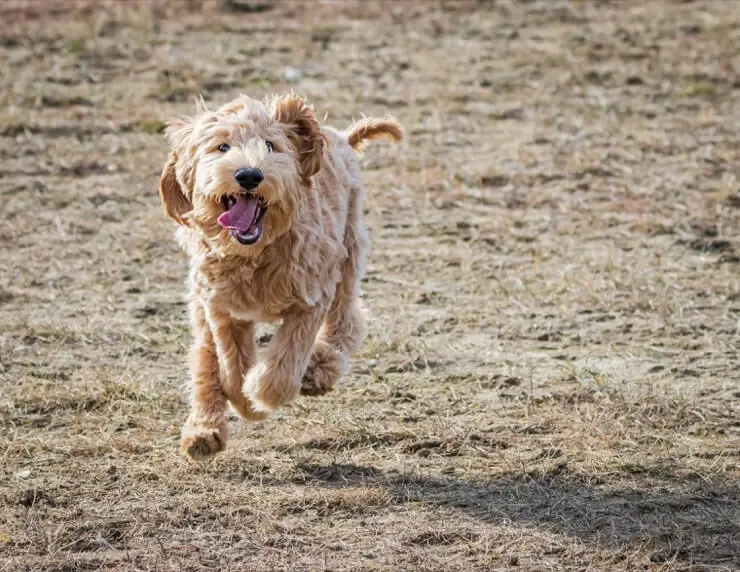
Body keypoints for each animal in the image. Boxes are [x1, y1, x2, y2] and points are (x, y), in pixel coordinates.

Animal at [158, 94, 404, 460]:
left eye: (271, 145)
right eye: (221, 146)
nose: (248, 175)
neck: (255, 253)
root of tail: (341, 138)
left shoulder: (311, 295)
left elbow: (283, 368)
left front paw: (259, 395)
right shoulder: (222, 309)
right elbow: (229, 368)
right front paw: (243, 400)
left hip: (347, 252)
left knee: (347, 319)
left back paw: (319, 370)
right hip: (202, 303)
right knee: (204, 359)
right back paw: (203, 432)